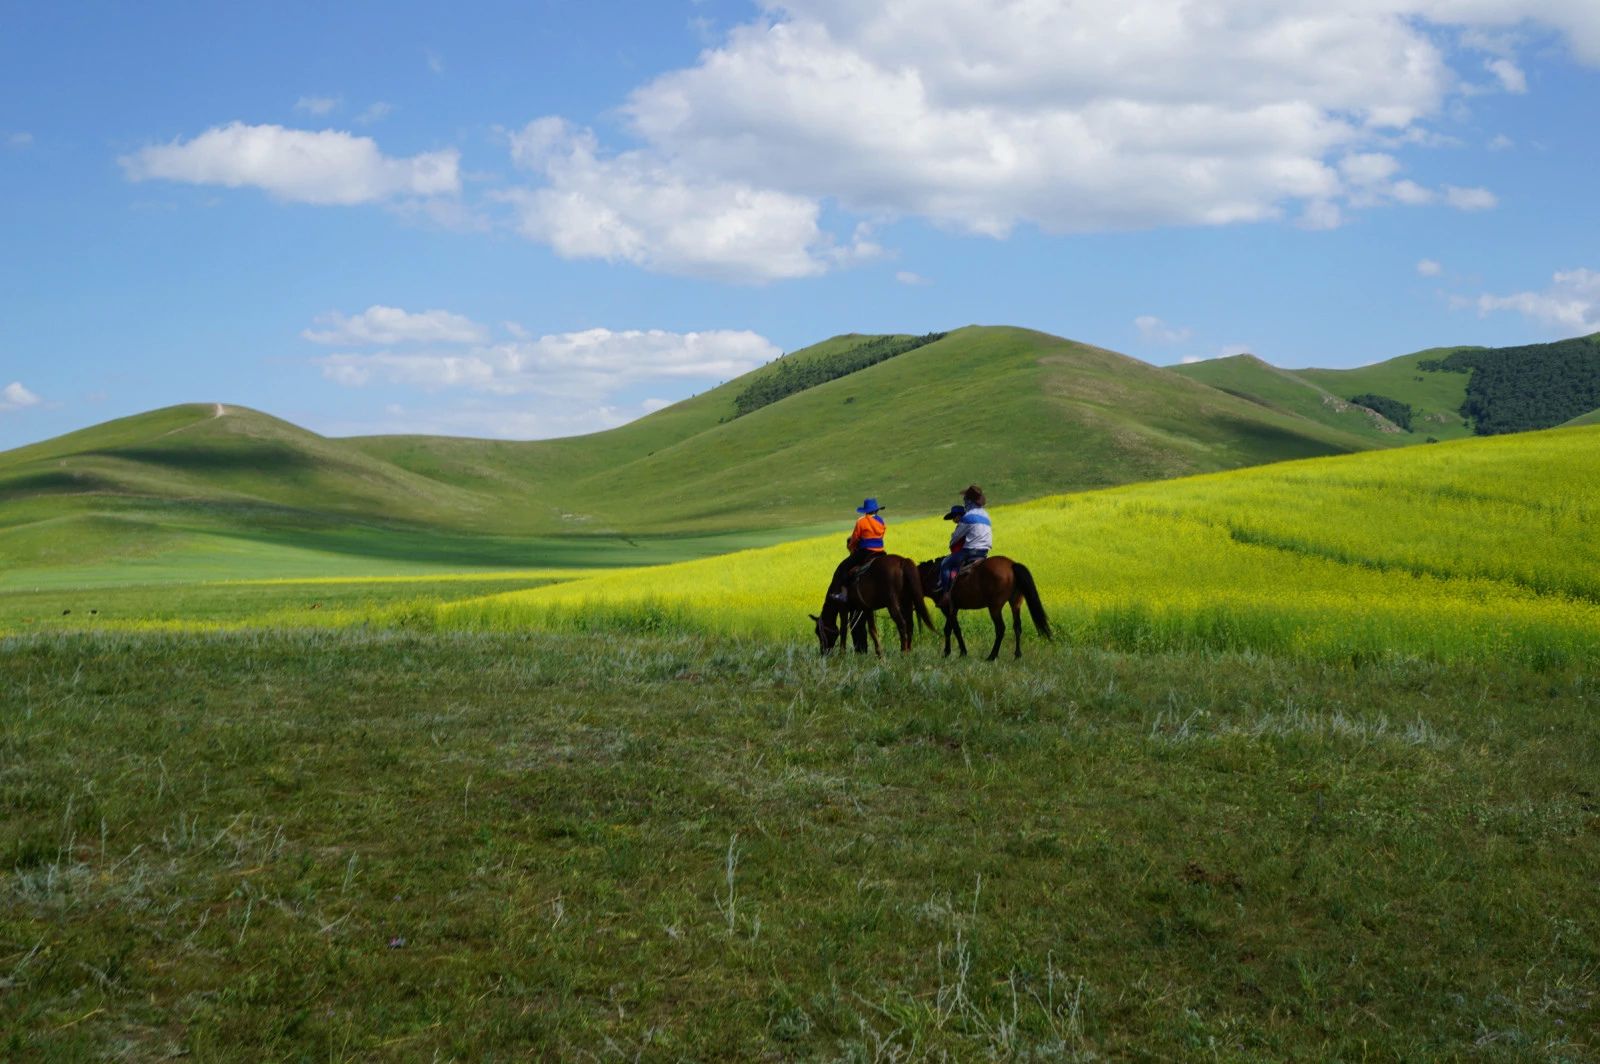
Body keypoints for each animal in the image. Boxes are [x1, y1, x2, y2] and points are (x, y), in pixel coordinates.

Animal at [915, 556, 1049, 656]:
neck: (932, 576)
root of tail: (1012, 565)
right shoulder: (953, 609)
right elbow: (948, 629)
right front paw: (948, 652)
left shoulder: (947, 609)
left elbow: (955, 629)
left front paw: (961, 652)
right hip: (1015, 603)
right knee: (1017, 626)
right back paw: (1017, 654)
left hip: (995, 607)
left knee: (1000, 628)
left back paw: (992, 656)